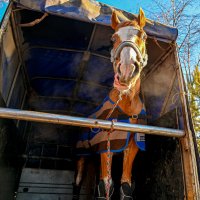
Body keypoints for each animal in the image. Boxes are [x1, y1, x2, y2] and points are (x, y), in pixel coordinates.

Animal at [72, 8, 148, 200]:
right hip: (82, 155)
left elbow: (125, 186)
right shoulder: (107, 146)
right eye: (113, 39)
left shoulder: (132, 145)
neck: (126, 104)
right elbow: (105, 185)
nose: (127, 69)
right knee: (77, 181)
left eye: (143, 36)